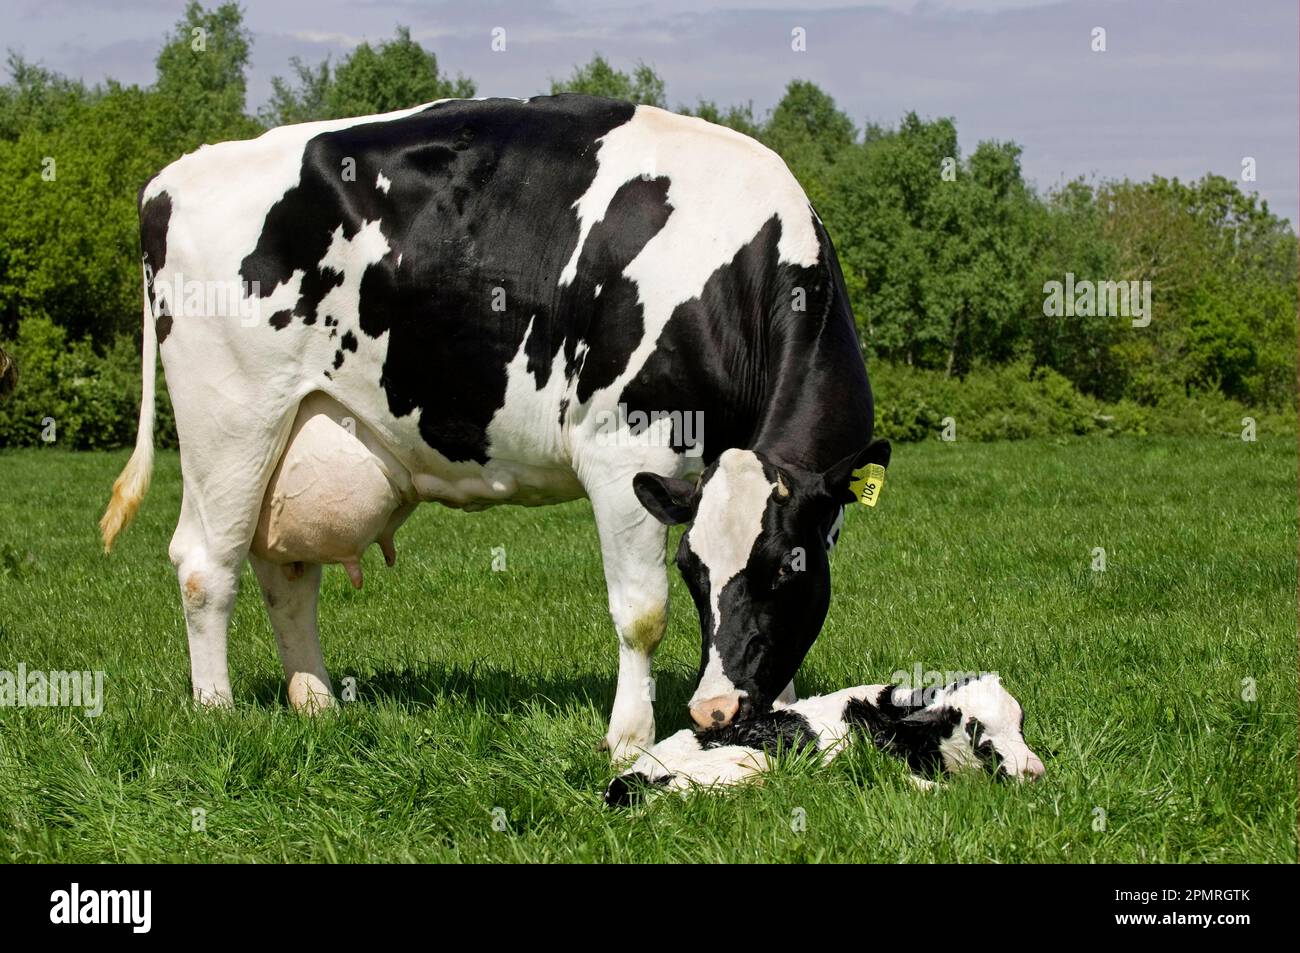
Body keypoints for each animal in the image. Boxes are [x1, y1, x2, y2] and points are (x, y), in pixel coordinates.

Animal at [99, 94, 887, 761]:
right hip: (230, 418)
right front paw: (629, 741)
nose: (717, 711)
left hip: (296, 434)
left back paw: (317, 705)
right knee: (206, 564)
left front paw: (777, 719)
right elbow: (641, 613)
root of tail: (171, 177)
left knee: (286, 570)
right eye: (691, 572)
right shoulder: (622, 446)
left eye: (786, 569)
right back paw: (216, 713)